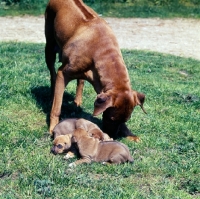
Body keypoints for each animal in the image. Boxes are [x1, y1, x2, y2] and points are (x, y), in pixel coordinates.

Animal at [44, 0, 146, 140]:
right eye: (111, 118)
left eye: (125, 120)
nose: (113, 136)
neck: (102, 50)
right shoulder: (62, 74)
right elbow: (56, 107)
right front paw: (53, 128)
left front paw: (130, 134)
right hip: (49, 45)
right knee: (52, 74)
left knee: (80, 81)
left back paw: (77, 101)